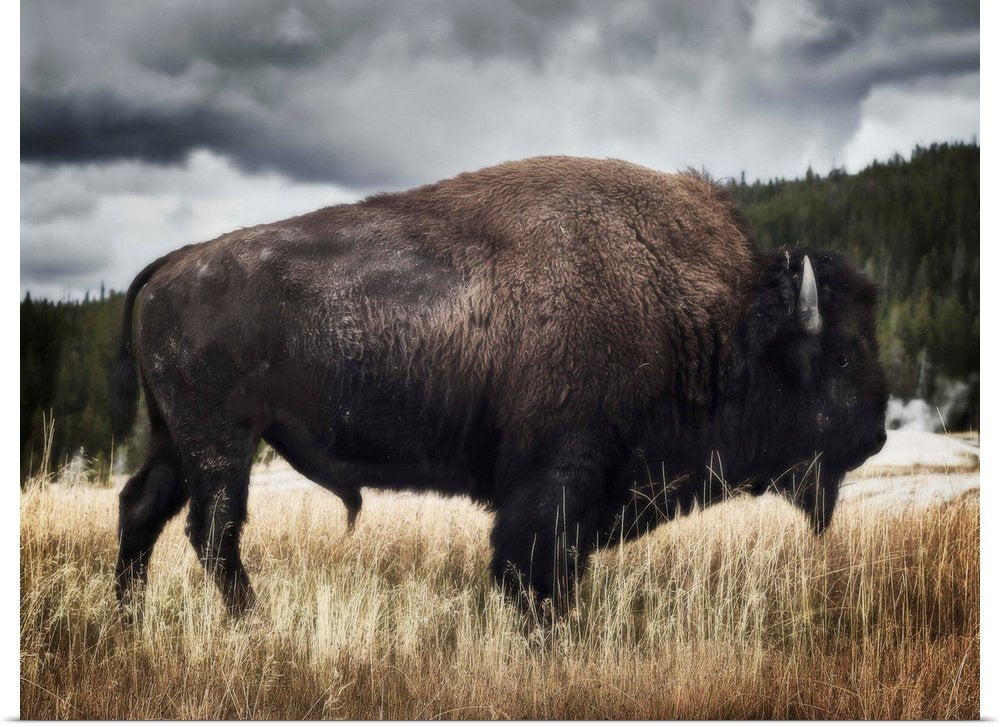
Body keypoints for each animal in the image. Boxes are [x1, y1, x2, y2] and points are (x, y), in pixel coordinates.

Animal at [111, 156, 888, 618]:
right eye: (844, 358)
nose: (877, 433)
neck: (707, 311)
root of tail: (175, 264)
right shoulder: (556, 479)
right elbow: (531, 564)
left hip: (177, 439)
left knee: (142, 510)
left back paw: (127, 620)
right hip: (222, 442)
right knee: (212, 530)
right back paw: (252, 620)